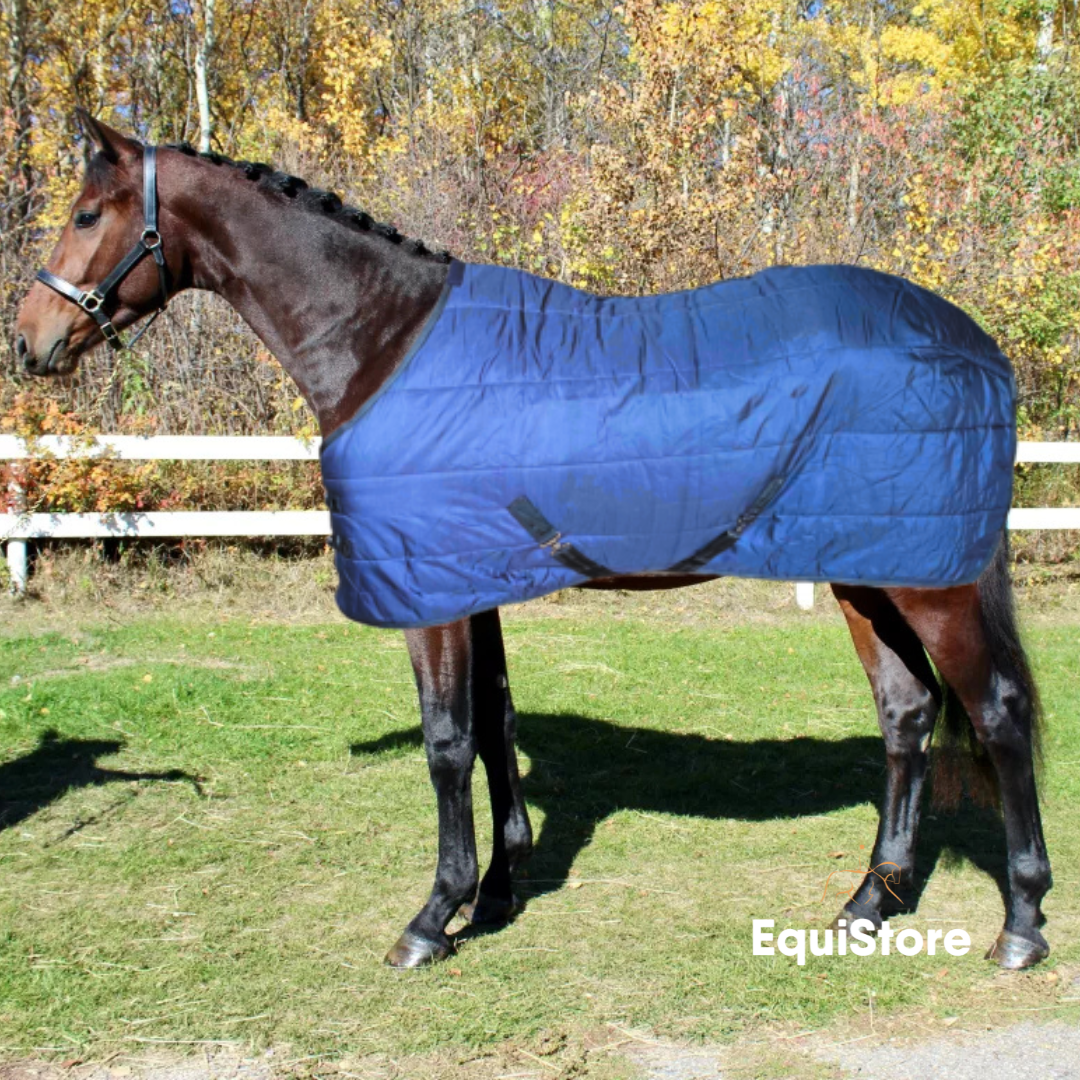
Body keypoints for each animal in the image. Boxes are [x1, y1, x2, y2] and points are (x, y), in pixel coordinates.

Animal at [12, 116, 1049, 972]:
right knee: (908, 715)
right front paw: (501, 890)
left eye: (86, 212)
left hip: (934, 585)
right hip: (873, 571)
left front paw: (434, 916)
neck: (387, 342)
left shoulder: (428, 594)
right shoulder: (469, 581)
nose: (31, 340)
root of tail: (974, 343)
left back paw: (1022, 923)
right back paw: (871, 901)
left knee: (995, 714)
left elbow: (446, 740)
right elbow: (495, 723)